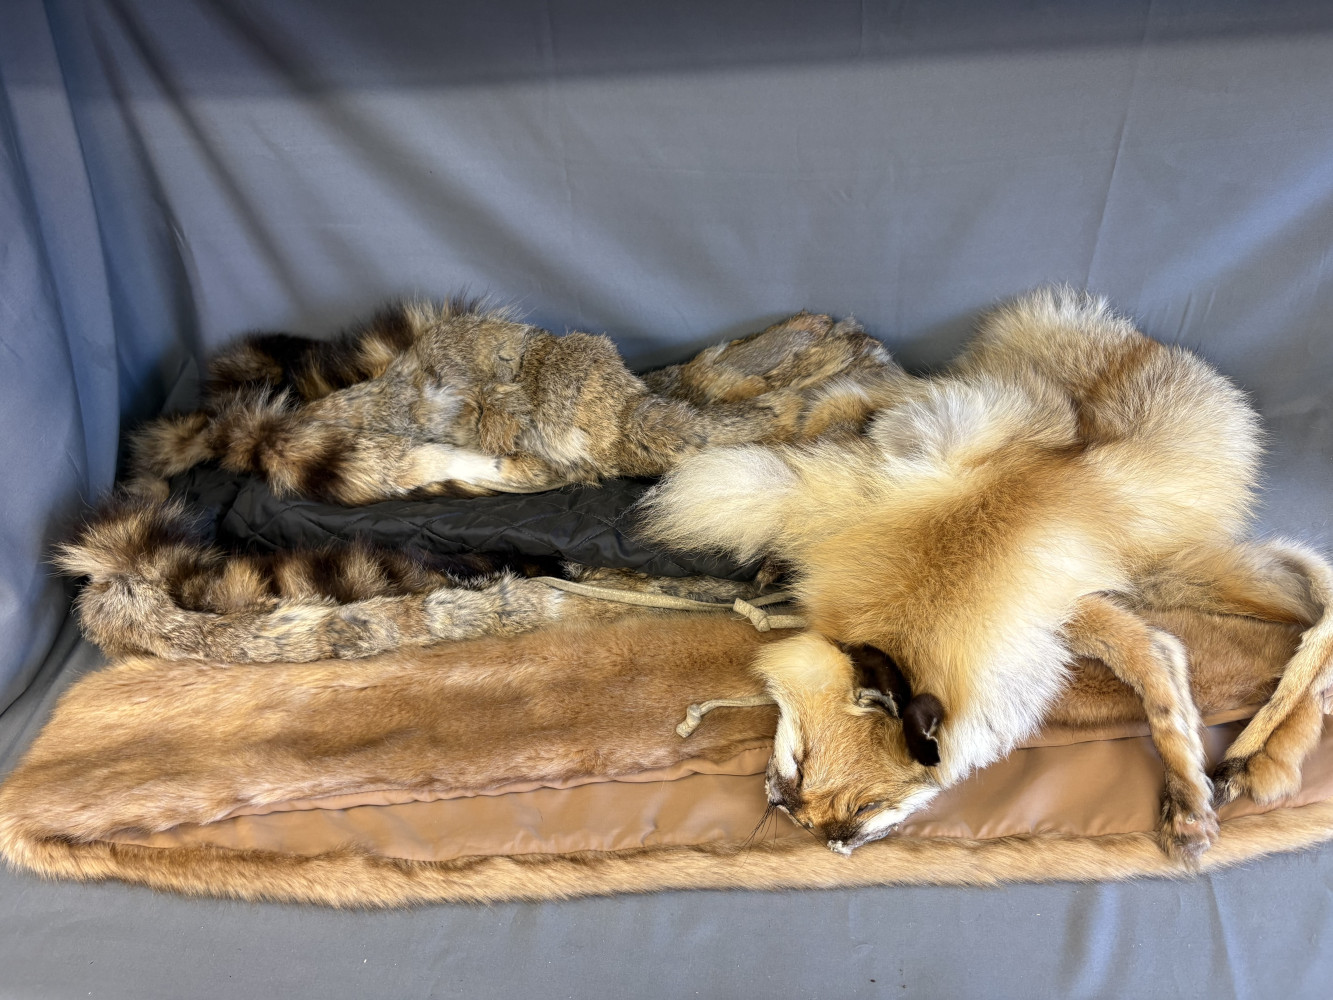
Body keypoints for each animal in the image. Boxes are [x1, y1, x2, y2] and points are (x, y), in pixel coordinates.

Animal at [638, 286, 1333, 862]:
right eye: (801, 766)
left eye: (867, 806)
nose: (821, 834)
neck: (953, 559)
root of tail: (1145, 342)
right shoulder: (1061, 612)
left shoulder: (1061, 612)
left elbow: (1160, 683)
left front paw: (1187, 796)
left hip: (1180, 569)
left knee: (1314, 618)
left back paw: (1263, 756)